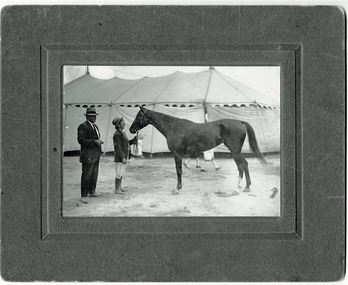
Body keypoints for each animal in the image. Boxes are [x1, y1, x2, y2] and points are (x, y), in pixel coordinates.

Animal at [129, 105, 266, 194]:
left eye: (139, 116)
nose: (131, 129)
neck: (174, 127)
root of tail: (240, 122)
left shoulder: (177, 154)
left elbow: (179, 171)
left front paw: (177, 188)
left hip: (235, 151)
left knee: (244, 164)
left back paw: (246, 187)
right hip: (235, 152)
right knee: (241, 166)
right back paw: (240, 185)